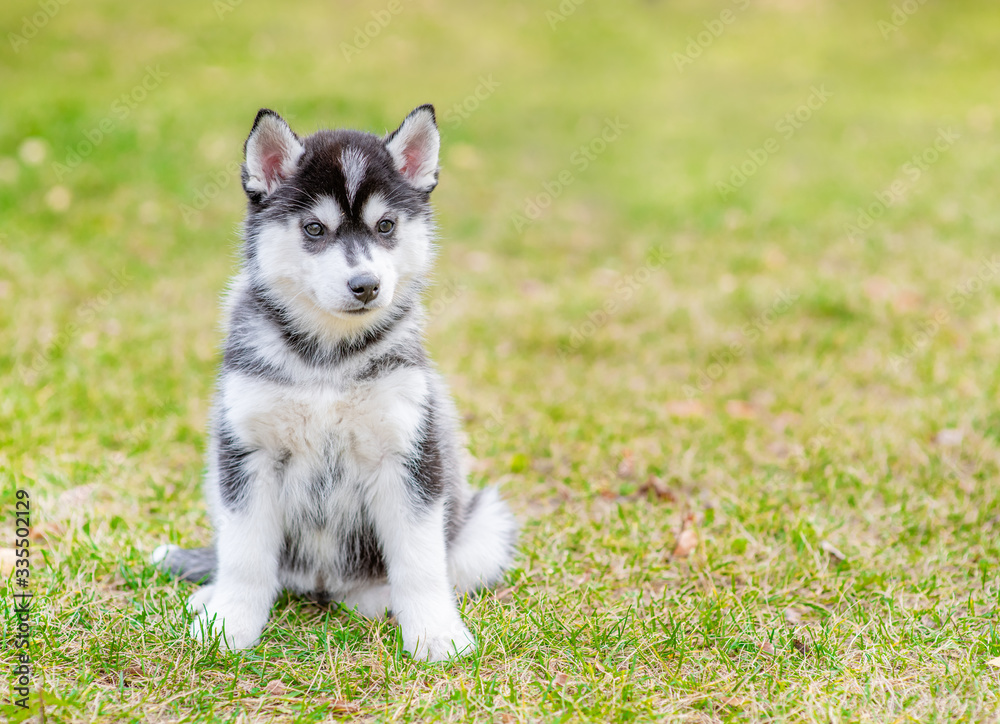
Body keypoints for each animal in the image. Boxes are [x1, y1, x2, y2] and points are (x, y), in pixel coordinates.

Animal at [154, 103, 524, 660]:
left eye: (386, 225)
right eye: (314, 228)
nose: (365, 285)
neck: (327, 359)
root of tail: (323, 587)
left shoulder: (409, 453)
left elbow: (420, 562)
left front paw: (436, 635)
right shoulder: (246, 453)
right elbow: (245, 556)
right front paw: (230, 623)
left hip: (486, 525)